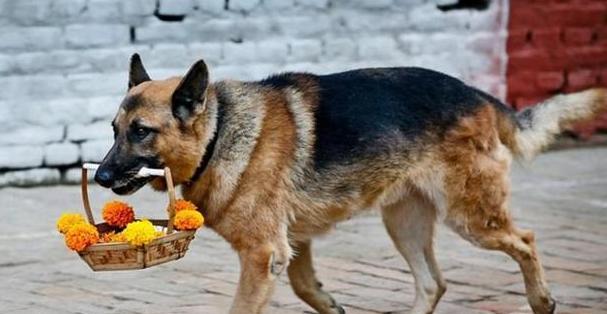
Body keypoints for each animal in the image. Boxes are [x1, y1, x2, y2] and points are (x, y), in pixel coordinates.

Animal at [95, 52, 607, 312]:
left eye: (141, 132)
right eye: (114, 131)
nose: (99, 177)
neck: (219, 133)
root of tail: (478, 94)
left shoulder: (263, 255)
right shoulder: (290, 246)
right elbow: (305, 286)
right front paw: (330, 304)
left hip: (471, 219)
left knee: (526, 240)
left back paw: (542, 300)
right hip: (404, 224)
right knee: (433, 284)